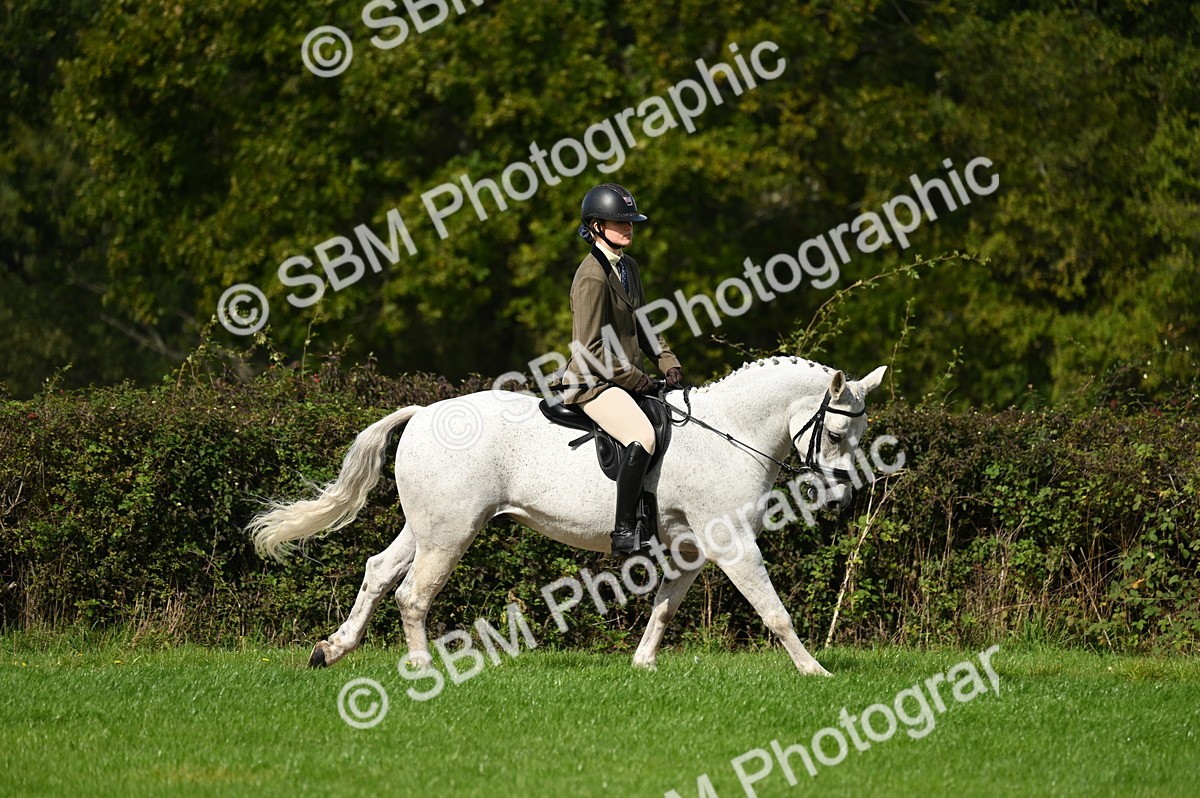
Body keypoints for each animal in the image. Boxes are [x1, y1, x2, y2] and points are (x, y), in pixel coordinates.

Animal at [249, 357, 887, 676]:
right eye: (834, 434)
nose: (841, 500)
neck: (731, 432)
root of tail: (423, 412)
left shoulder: (693, 547)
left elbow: (664, 607)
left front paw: (642, 666)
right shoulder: (732, 544)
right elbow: (773, 611)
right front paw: (815, 673)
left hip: (429, 526)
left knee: (380, 571)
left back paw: (332, 650)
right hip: (452, 532)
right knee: (412, 594)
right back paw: (423, 667)